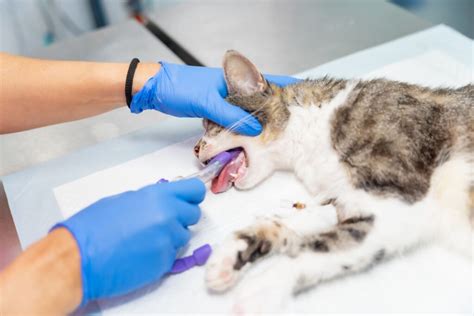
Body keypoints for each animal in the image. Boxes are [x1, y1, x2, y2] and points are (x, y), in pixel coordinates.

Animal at [192, 50, 470, 312]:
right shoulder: (342, 201)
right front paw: (230, 256)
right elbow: (287, 222)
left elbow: (316, 248)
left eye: (209, 125)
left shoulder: (399, 202)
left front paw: (259, 289)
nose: (195, 150)